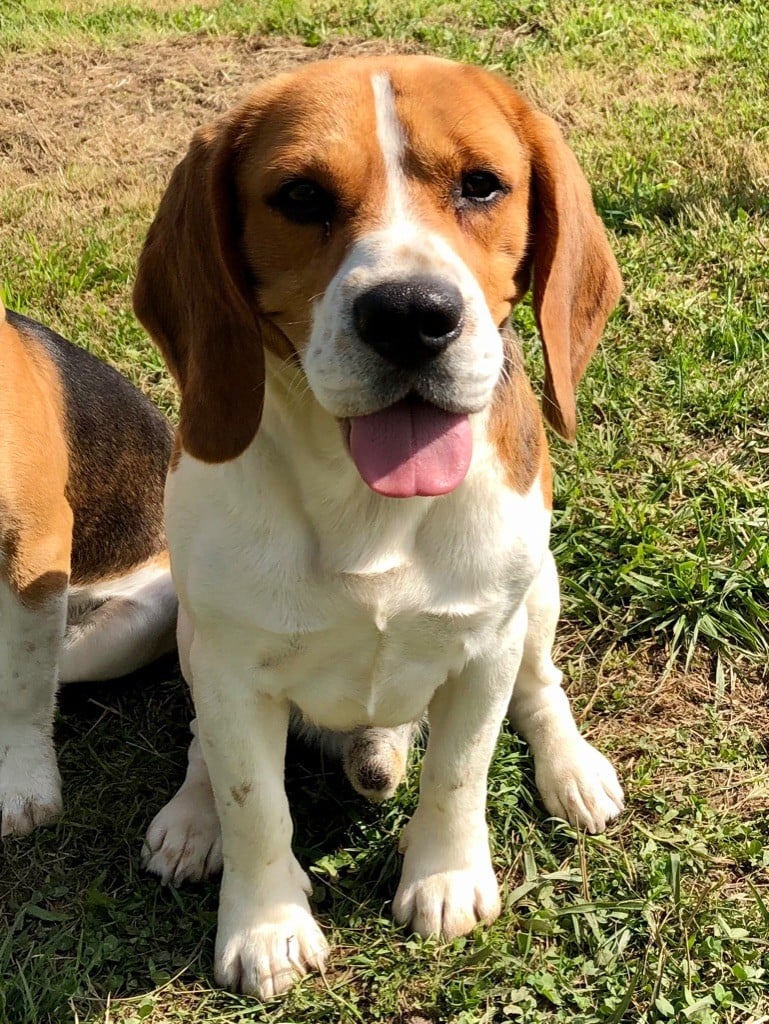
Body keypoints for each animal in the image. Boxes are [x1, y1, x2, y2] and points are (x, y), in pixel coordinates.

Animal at [134, 54, 625, 999]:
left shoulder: (483, 645)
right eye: (299, 196)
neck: (368, 503)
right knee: (204, 744)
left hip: (537, 595)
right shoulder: (230, 665)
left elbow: (460, 772)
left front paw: (445, 878)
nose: (410, 315)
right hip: (189, 629)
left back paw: (571, 769)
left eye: (481, 185)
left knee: (539, 687)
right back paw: (192, 814)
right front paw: (265, 926)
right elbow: (255, 805)